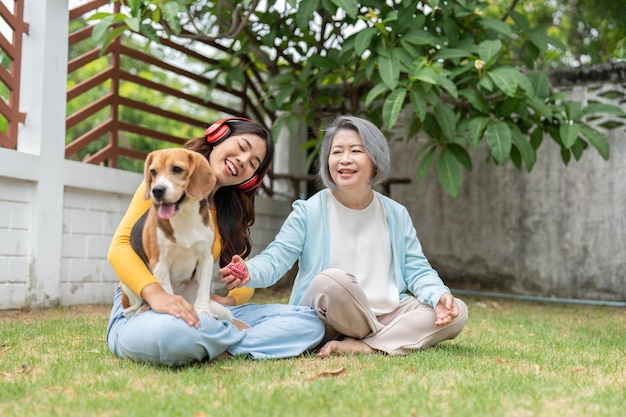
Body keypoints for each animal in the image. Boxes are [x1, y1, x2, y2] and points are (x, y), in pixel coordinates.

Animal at [119, 148, 232, 320]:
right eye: (153, 171)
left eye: (177, 169)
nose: (157, 190)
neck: (183, 215)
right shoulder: (160, 262)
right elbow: (166, 291)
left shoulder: (206, 257)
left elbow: (204, 289)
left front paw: (203, 310)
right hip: (128, 285)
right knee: (130, 310)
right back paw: (144, 308)